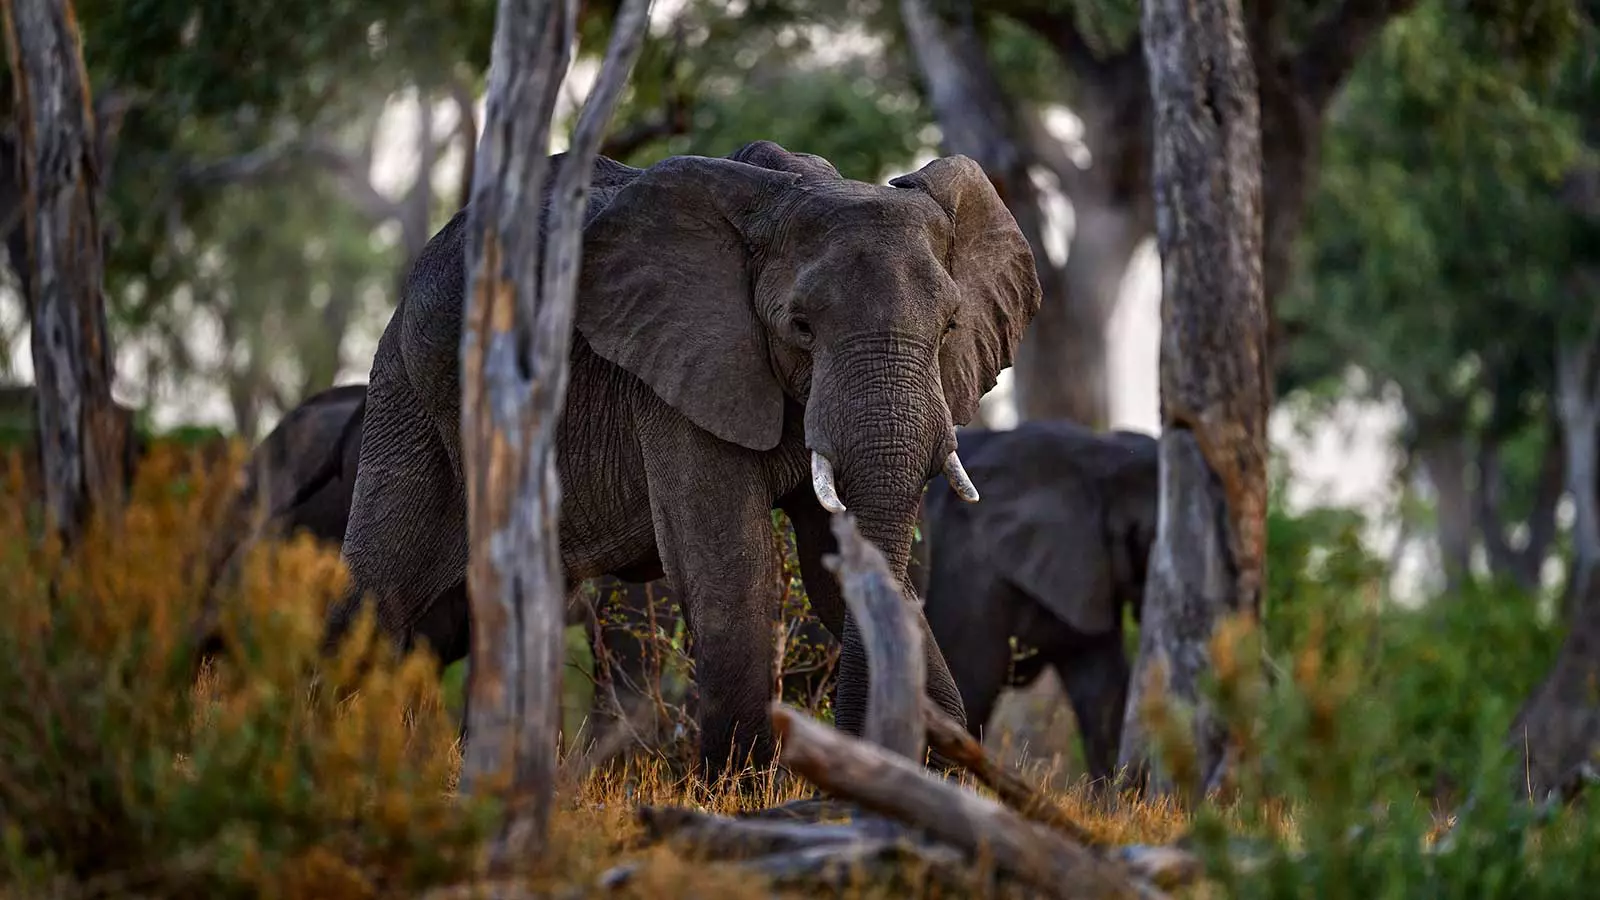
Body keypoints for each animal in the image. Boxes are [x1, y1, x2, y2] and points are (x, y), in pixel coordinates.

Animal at [326, 138, 1049, 771]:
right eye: (800, 327)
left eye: (950, 328)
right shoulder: (675, 375)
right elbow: (734, 575)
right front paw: (742, 794)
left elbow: (834, 574)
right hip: (410, 387)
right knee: (377, 593)